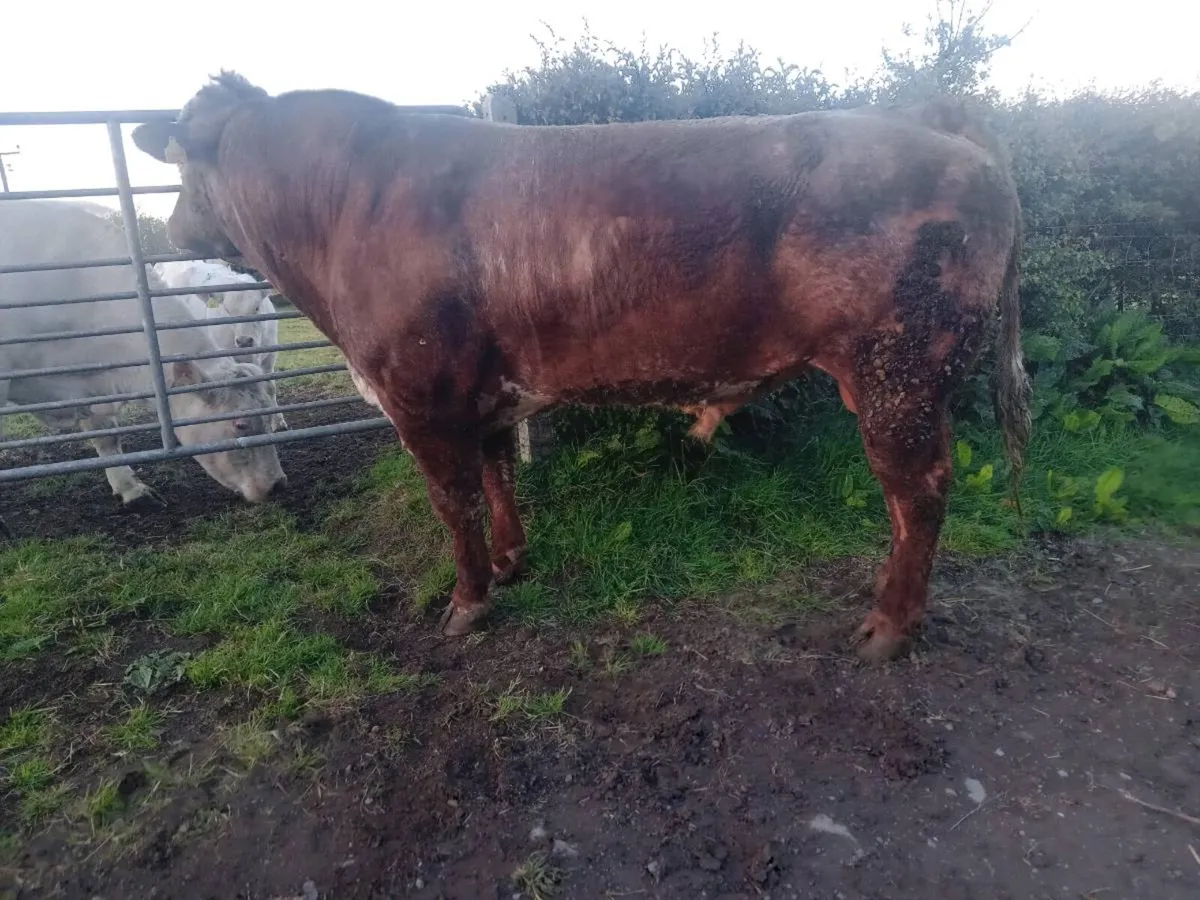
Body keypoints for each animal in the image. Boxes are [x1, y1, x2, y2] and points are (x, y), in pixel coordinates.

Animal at [154, 259, 288, 431]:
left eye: (257, 307)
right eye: (228, 311)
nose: (244, 340)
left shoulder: (270, 356)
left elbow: (270, 388)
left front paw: (278, 421)